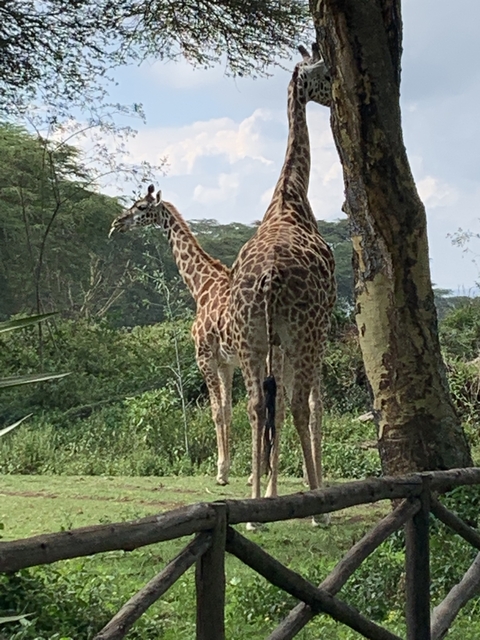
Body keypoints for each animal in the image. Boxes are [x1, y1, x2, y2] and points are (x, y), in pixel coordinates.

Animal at [109, 186, 238, 485]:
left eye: (141, 207)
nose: (117, 223)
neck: (200, 286)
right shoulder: (225, 362)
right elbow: (227, 411)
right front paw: (231, 469)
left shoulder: (204, 355)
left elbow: (216, 412)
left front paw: (221, 471)